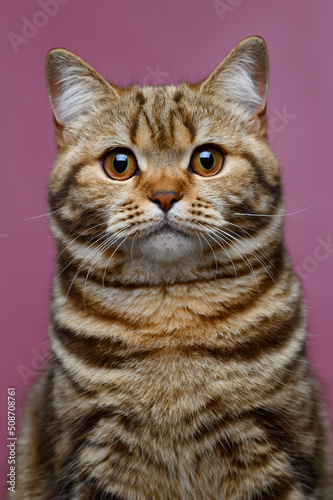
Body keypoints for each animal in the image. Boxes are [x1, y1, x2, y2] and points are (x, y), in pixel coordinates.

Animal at [10, 37, 330, 498]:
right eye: (120, 163)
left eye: (207, 160)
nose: (164, 195)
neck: (170, 317)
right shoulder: (93, 450)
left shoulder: (275, 443)